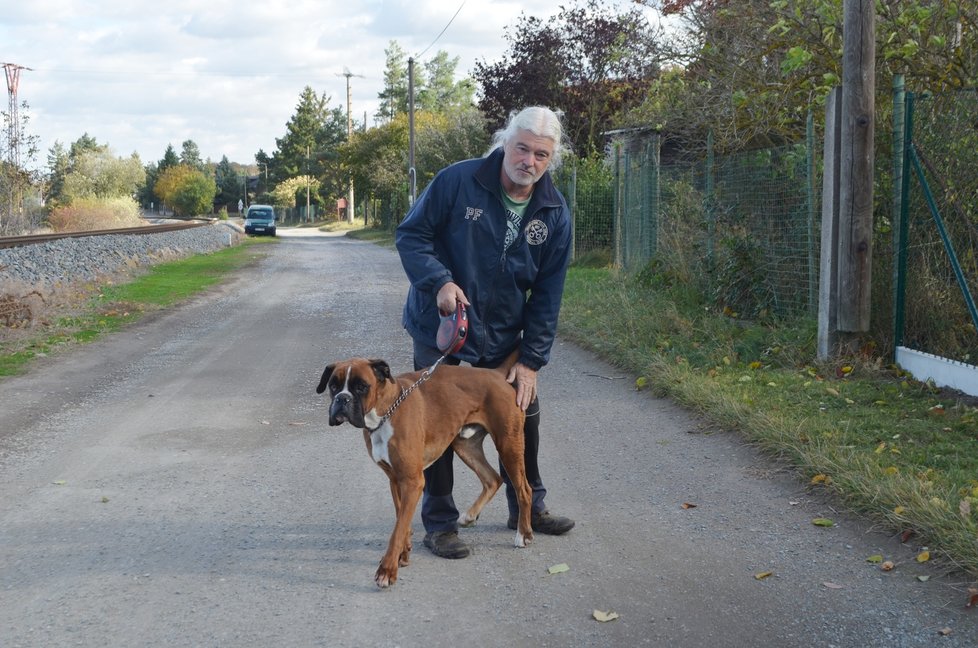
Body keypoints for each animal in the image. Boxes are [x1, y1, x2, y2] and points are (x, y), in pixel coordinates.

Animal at [314, 354, 532, 588]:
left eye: (361, 386)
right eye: (333, 386)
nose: (342, 399)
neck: (385, 412)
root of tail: (496, 373)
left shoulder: (412, 481)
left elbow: (398, 528)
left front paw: (387, 570)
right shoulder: (395, 480)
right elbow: (401, 519)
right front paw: (402, 555)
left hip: (508, 444)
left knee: (524, 490)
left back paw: (524, 534)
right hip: (465, 445)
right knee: (493, 478)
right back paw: (470, 516)